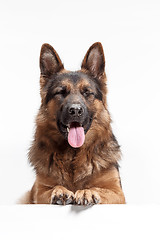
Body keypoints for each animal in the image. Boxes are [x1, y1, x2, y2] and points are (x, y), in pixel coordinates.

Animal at [20, 42, 125, 203]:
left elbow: (98, 189)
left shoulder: (117, 193)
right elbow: (51, 189)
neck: (73, 153)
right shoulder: (39, 191)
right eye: (61, 92)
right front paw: (60, 191)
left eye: (87, 92)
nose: (75, 110)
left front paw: (87, 191)